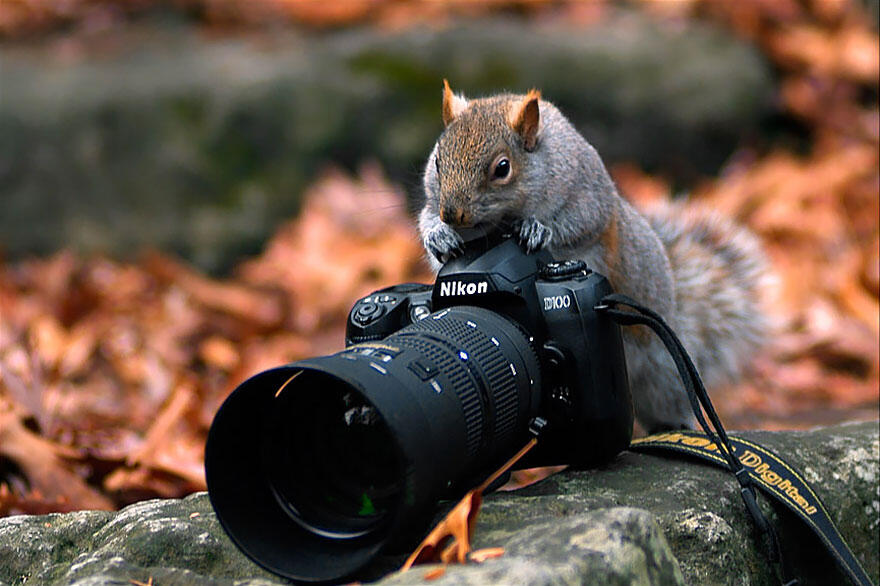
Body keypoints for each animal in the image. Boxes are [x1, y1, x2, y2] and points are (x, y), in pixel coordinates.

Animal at [416, 80, 768, 432]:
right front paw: (439, 235)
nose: (452, 214)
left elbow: (579, 224)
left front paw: (536, 229)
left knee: (668, 400)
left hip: (662, 368)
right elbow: (428, 224)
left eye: (502, 168)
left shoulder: (587, 197)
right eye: (437, 162)